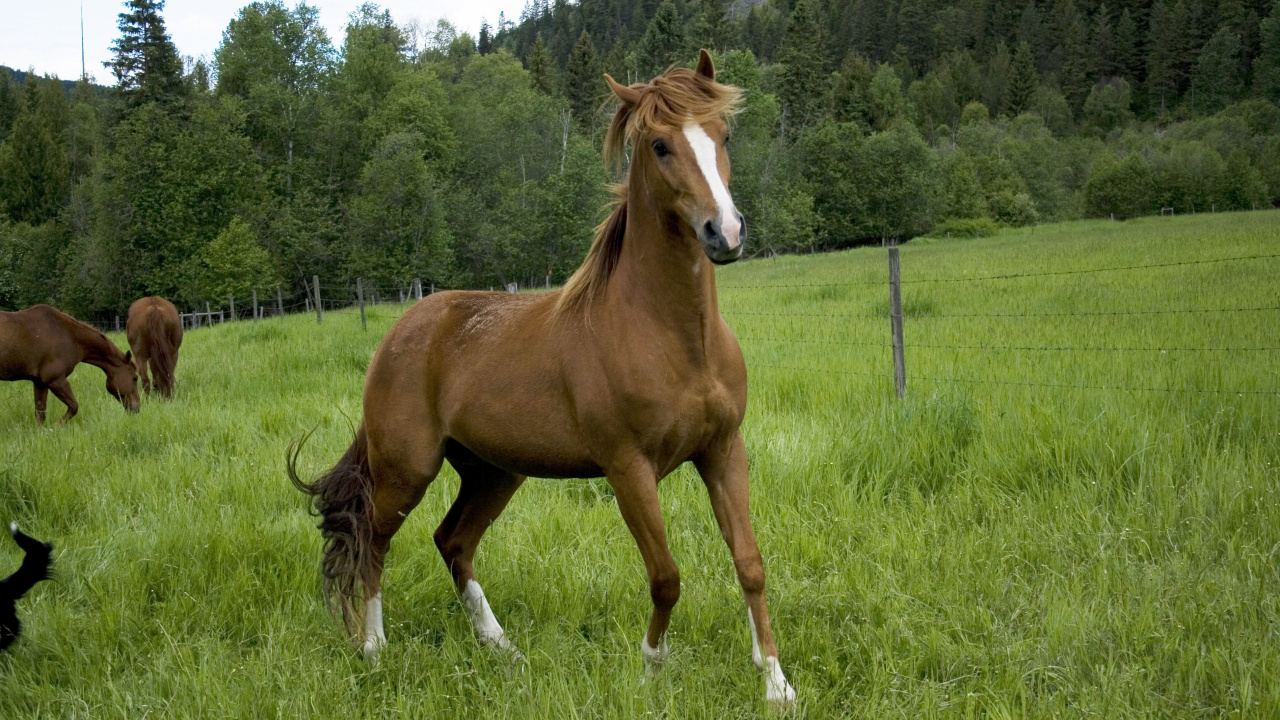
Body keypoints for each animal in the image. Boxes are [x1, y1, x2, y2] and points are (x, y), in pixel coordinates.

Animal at [0, 304, 140, 424]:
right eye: (135, 378)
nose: (137, 408)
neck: (69, 336)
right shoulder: (56, 381)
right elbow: (73, 407)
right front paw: (55, 427)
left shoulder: (40, 383)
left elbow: (40, 414)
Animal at [289, 50, 797, 706]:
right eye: (659, 145)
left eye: (724, 135)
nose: (725, 233)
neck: (675, 341)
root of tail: (399, 332)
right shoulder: (628, 468)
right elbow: (665, 576)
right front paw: (650, 668)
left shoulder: (723, 451)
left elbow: (750, 564)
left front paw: (776, 682)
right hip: (407, 470)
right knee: (373, 540)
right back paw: (375, 650)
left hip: (493, 472)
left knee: (452, 542)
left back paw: (502, 650)